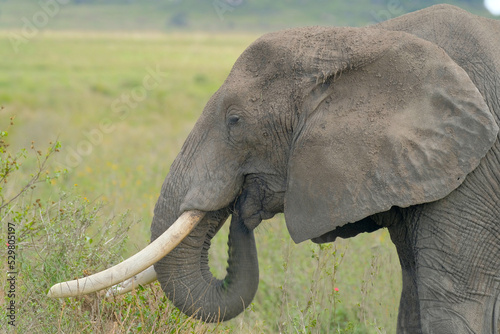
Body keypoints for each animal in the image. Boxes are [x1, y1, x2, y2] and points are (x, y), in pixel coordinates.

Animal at [47, 4, 500, 334]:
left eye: (235, 121)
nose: (243, 205)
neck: (365, 39)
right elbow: (412, 302)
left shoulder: (476, 172)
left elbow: (453, 305)